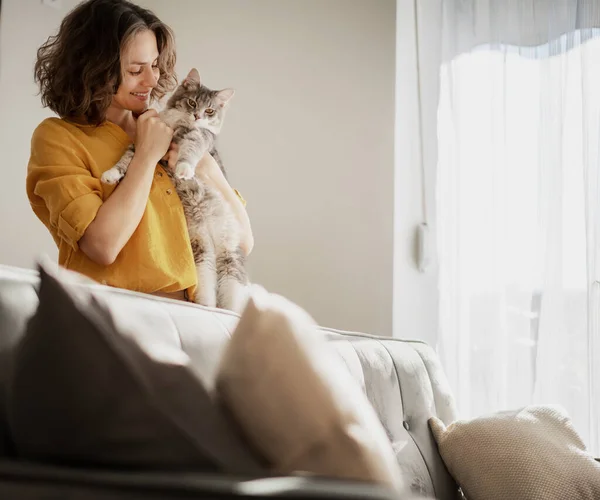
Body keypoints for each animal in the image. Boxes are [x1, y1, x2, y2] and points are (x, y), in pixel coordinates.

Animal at [101, 68, 248, 310]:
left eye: (209, 110)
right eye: (192, 102)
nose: (197, 116)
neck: (178, 124)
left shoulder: (198, 138)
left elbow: (189, 151)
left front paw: (184, 169)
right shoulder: (140, 145)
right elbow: (125, 159)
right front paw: (112, 174)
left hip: (230, 258)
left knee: (231, 294)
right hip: (202, 254)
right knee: (208, 288)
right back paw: (206, 305)